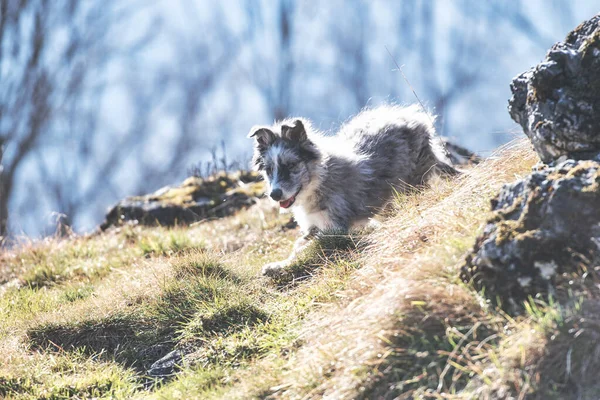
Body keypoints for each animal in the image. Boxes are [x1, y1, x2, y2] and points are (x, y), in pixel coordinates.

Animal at [246, 104, 458, 276]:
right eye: (269, 170)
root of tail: (414, 118)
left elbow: (307, 248)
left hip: (413, 181)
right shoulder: (313, 226)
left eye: (291, 165)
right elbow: (298, 245)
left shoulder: (335, 228)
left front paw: (280, 266)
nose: (275, 194)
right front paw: (279, 264)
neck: (318, 181)